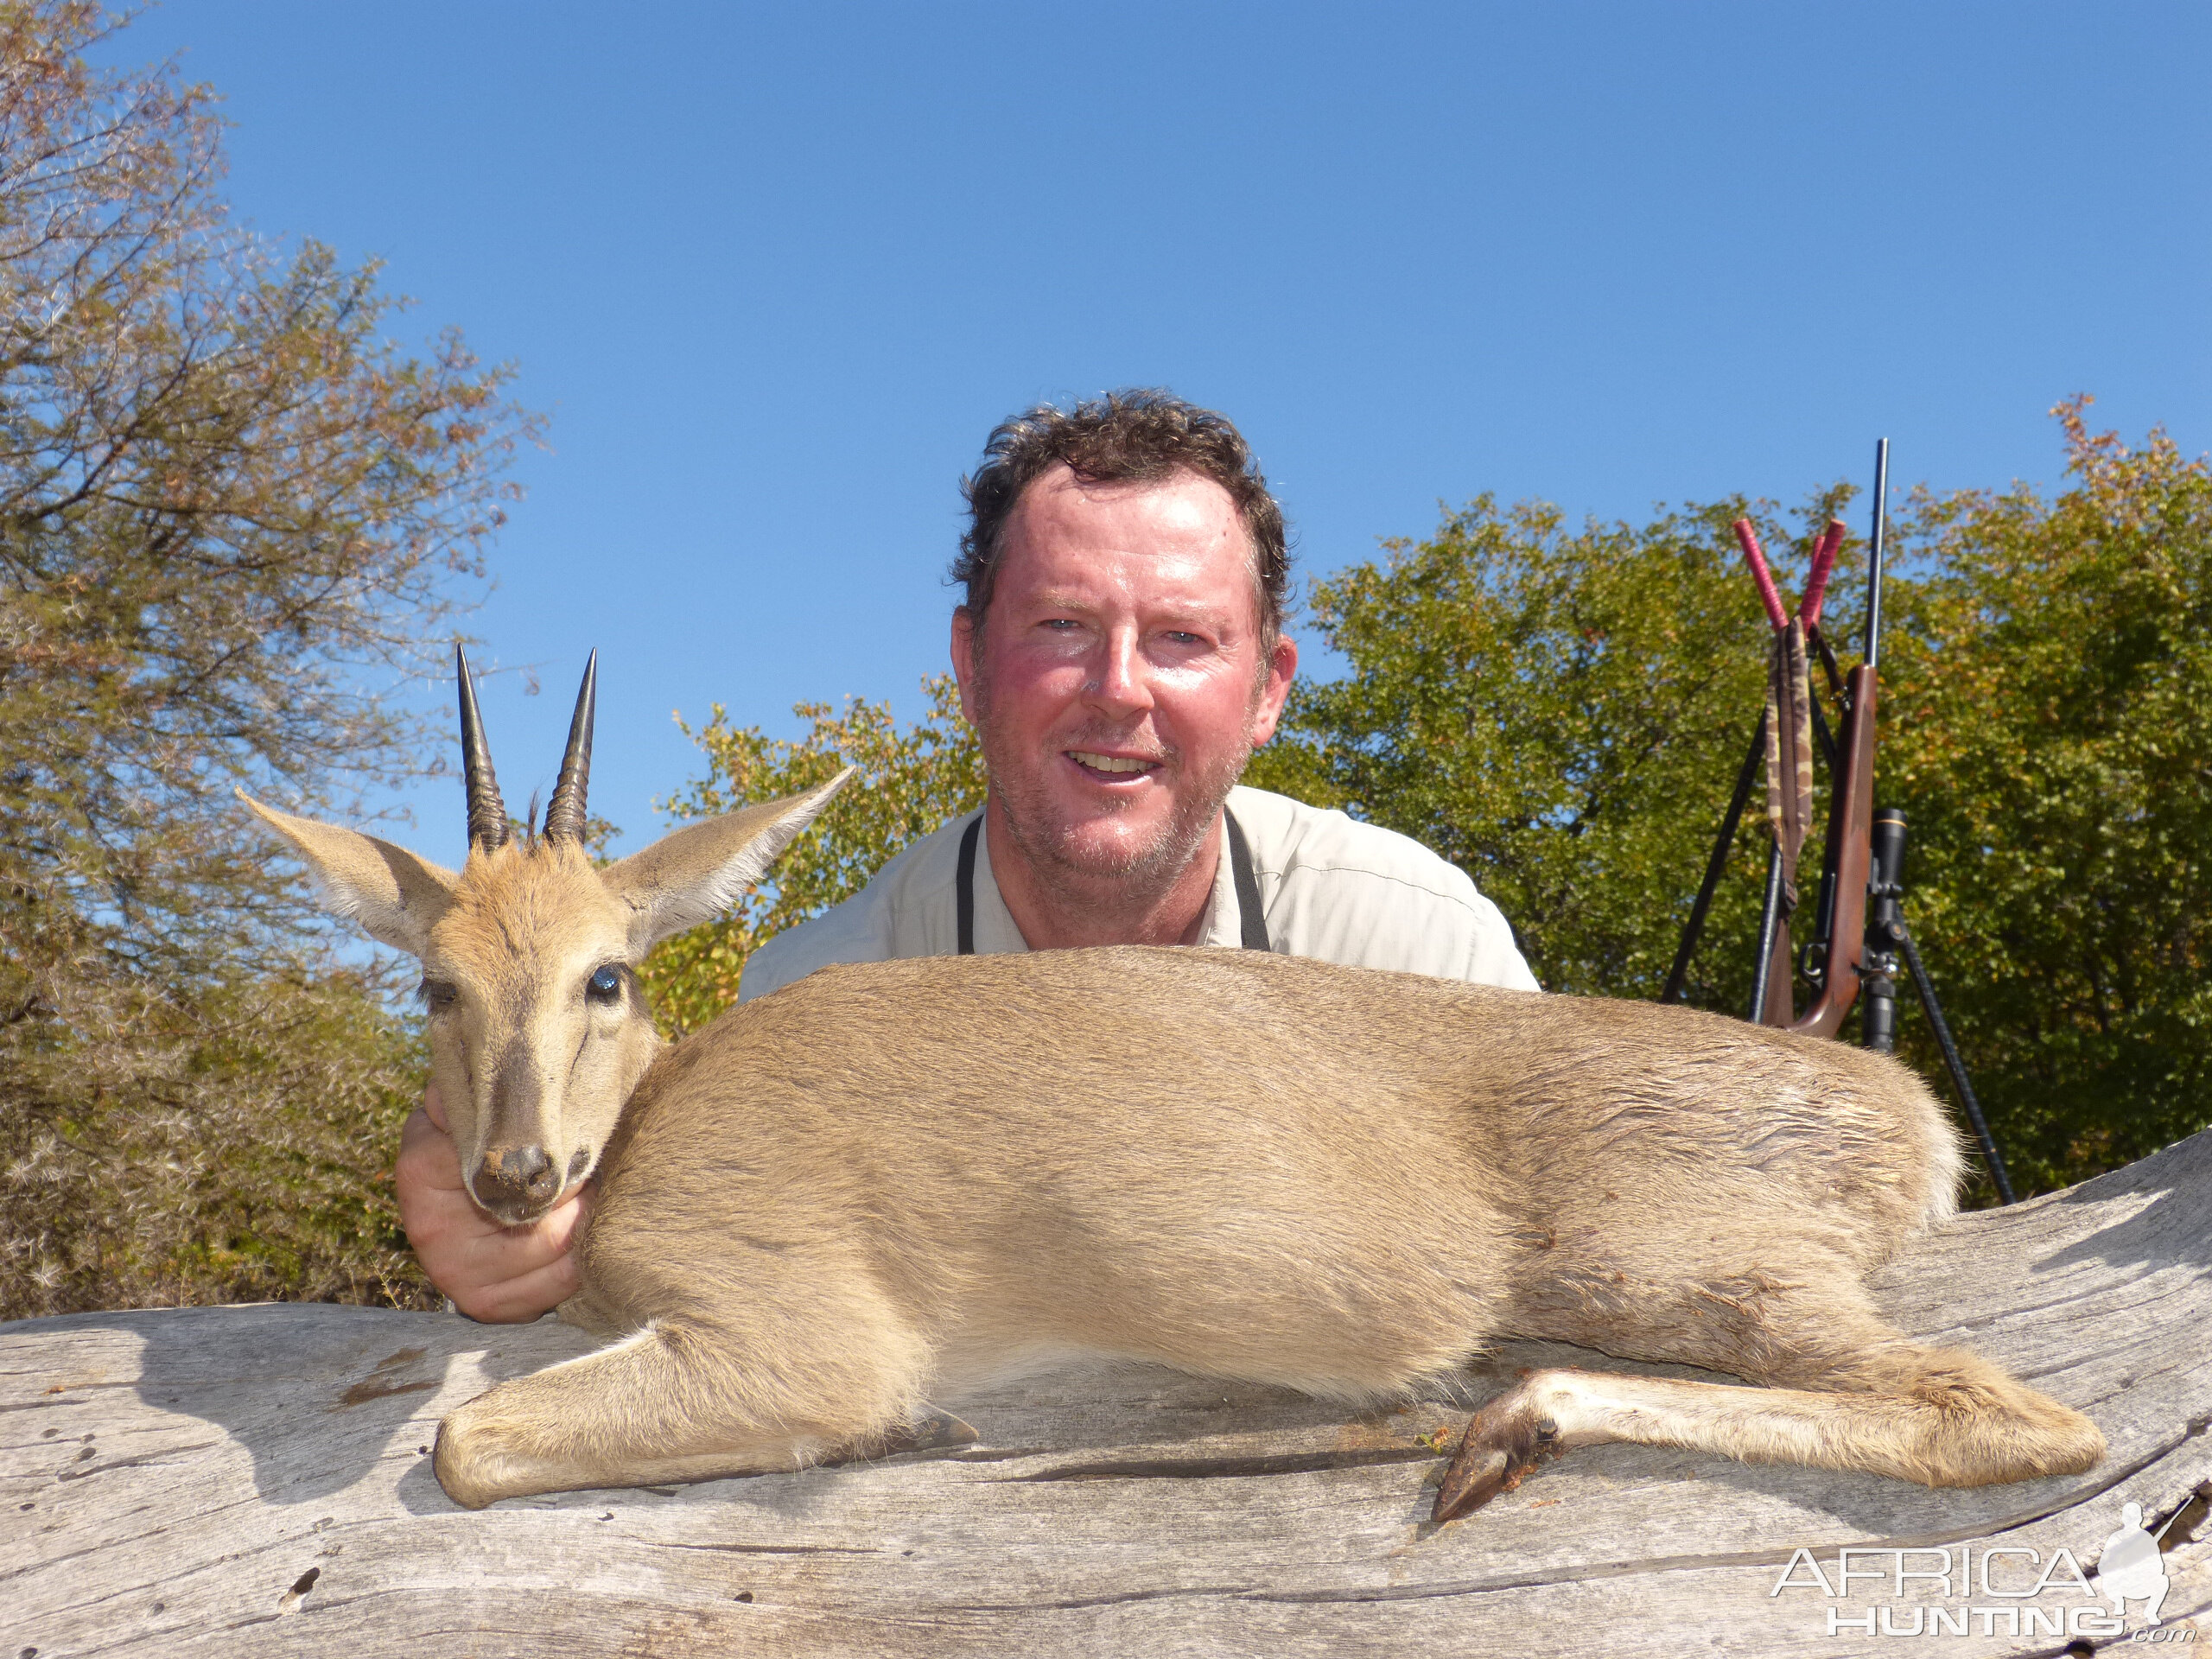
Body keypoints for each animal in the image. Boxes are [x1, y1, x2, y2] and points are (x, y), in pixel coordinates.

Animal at [246, 650, 2106, 1522]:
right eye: (431, 981)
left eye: (606, 971)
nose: (512, 1181)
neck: (644, 1144)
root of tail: (1908, 1120)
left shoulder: (798, 1329)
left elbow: (463, 1442)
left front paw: (926, 1423)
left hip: (1682, 1265)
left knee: (2017, 1414)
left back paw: (1499, 1428)